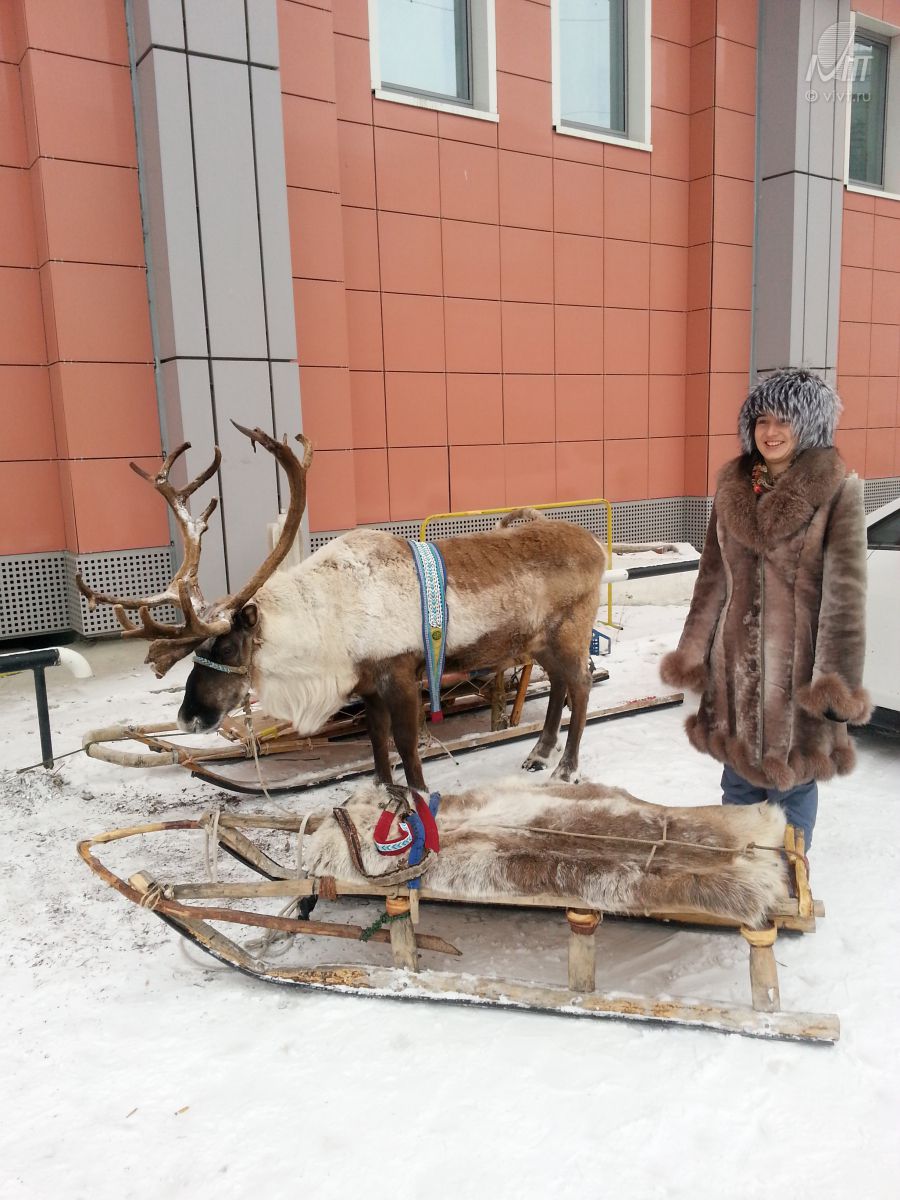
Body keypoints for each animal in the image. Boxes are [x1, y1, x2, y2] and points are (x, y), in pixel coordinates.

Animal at [77, 424, 607, 790]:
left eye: (227, 647)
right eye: (195, 652)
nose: (189, 717)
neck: (326, 623)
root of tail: (596, 544)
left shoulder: (400, 673)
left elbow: (407, 748)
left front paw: (417, 798)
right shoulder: (367, 684)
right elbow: (376, 745)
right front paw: (383, 792)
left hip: (570, 632)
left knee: (580, 685)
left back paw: (565, 768)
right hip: (538, 642)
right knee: (560, 685)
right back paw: (539, 753)